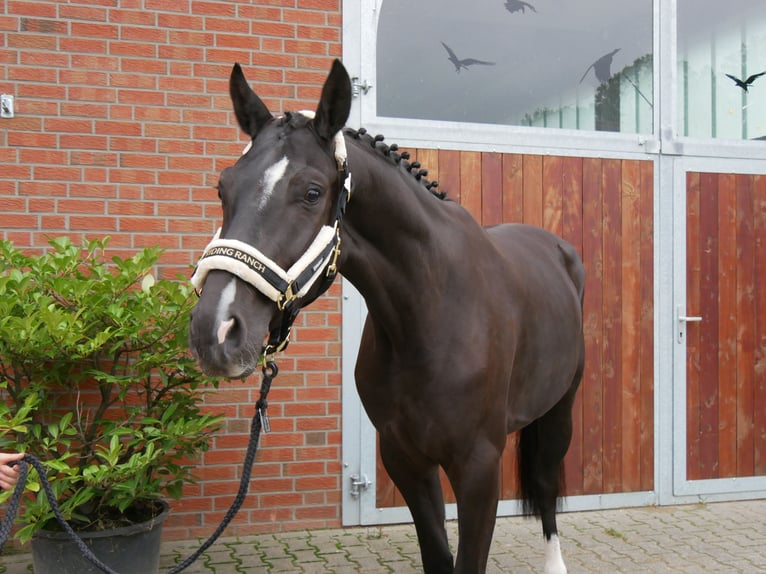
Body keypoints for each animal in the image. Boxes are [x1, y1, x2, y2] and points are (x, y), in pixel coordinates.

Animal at [189, 59, 584, 574]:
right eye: (223, 186)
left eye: (311, 192)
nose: (215, 331)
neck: (429, 317)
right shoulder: (406, 460)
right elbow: (437, 554)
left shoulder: (479, 468)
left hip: (560, 410)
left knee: (547, 484)